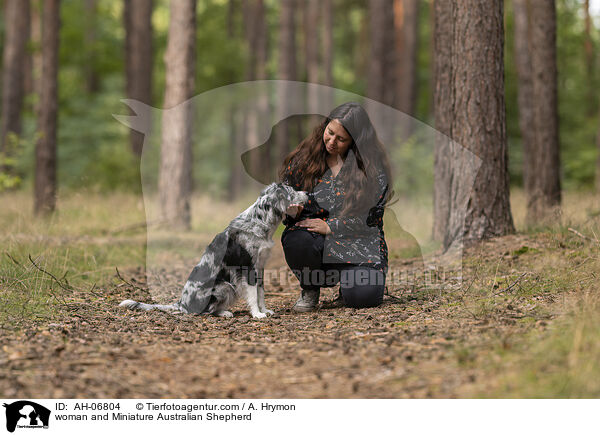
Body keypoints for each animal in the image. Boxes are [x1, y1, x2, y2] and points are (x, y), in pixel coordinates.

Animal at [122, 182, 310, 318]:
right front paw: (257, 314)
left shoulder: (260, 266)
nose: (308, 194)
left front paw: (264, 310)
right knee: (205, 312)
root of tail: (181, 303)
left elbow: (261, 292)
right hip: (225, 286)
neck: (259, 221)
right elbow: (253, 294)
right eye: (292, 191)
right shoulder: (248, 268)